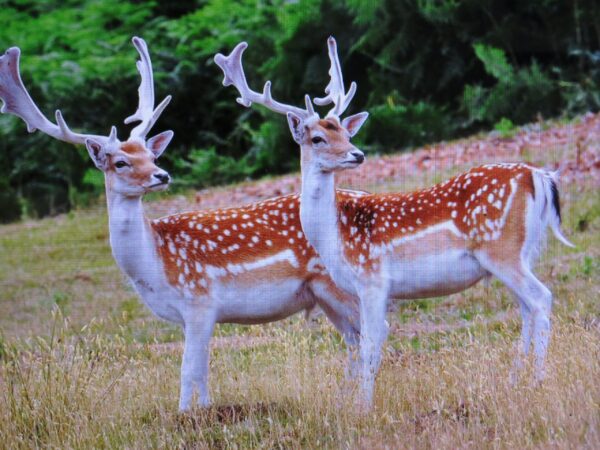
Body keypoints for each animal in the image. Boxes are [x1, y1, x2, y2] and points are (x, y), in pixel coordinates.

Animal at [0, 37, 360, 412]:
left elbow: (188, 372)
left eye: (152, 155)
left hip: (340, 286)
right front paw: (204, 411)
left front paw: (186, 415)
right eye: (120, 162)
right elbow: (201, 374)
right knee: (354, 340)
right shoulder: (189, 316)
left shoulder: (200, 300)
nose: (162, 175)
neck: (155, 266)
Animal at [214, 37, 572, 408]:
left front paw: (363, 407)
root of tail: (538, 176)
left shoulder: (372, 278)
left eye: (345, 133)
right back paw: (516, 380)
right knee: (527, 308)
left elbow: (370, 344)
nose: (357, 154)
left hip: (501, 250)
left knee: (541, 298)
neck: (333, 237)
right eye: (318, 138)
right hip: (520, 253)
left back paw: (538, 380)